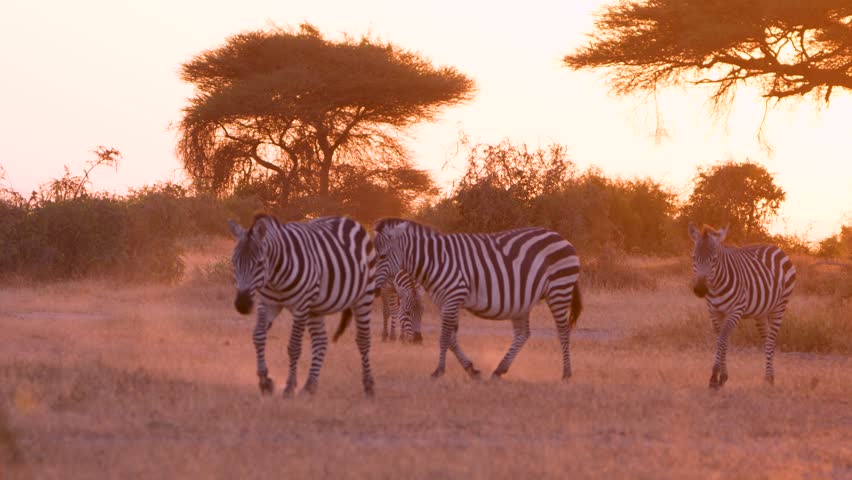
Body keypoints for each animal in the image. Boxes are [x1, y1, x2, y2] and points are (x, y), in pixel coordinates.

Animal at [228, 214, 376, 397]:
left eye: (259, 263)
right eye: (234, 262)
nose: (242, 305)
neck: (275, 277)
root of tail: (348, 219)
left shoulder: (300, 306)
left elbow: (294, 347)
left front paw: (289, 387)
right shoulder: (268, 304)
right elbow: (258, 336)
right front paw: (265, 381)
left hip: (364, 296)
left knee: (363, 340)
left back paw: (369, 386)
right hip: (315, 308)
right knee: (320, 341)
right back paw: (309, 386)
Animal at [374, 218, 582, 381]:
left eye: (382, 255)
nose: (417, 341)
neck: (436, 261)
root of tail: (562, 238)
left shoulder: (453, 296)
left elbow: (444, 337)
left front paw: (439, 371)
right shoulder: (446, 301)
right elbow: (451, 338)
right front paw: (471, 369)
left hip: (559, 288)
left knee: (563, 331)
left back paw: (566, 373)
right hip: (523, 301)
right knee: (523, 334)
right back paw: (499, 370)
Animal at [689, 223, 796, 389]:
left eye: (714, 259)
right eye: (694, 257)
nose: (700, 290)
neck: (715, 287)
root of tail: (775, 247)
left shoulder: (735, 311)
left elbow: (722, 340)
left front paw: (715, 377)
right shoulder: (714, 312)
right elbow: (721, 340)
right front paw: (722, 377)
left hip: (780, 306)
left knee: (771, 341)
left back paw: (769, 378)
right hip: (761, 312)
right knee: (766, 340)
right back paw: (768, 377)